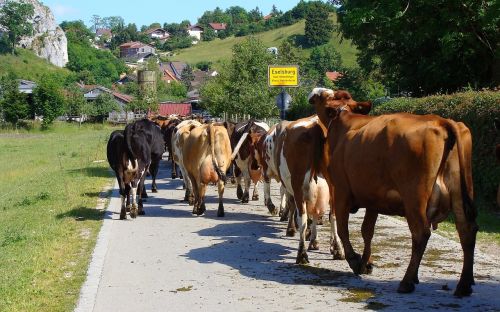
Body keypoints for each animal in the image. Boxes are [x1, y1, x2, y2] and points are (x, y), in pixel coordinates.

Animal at [308, 88, 476, 298]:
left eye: (322, 97)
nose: (312, 94)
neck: (345, 120)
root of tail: (441, 121)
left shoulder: (341, 191)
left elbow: (343, 228)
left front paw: (354, 260)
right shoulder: (373, 198)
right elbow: (367, 230)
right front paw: (366, 262)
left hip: (415, 198)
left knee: (421, 233)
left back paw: (407, 281)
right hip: (460, 194)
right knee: (466, 230)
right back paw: (464, 284)